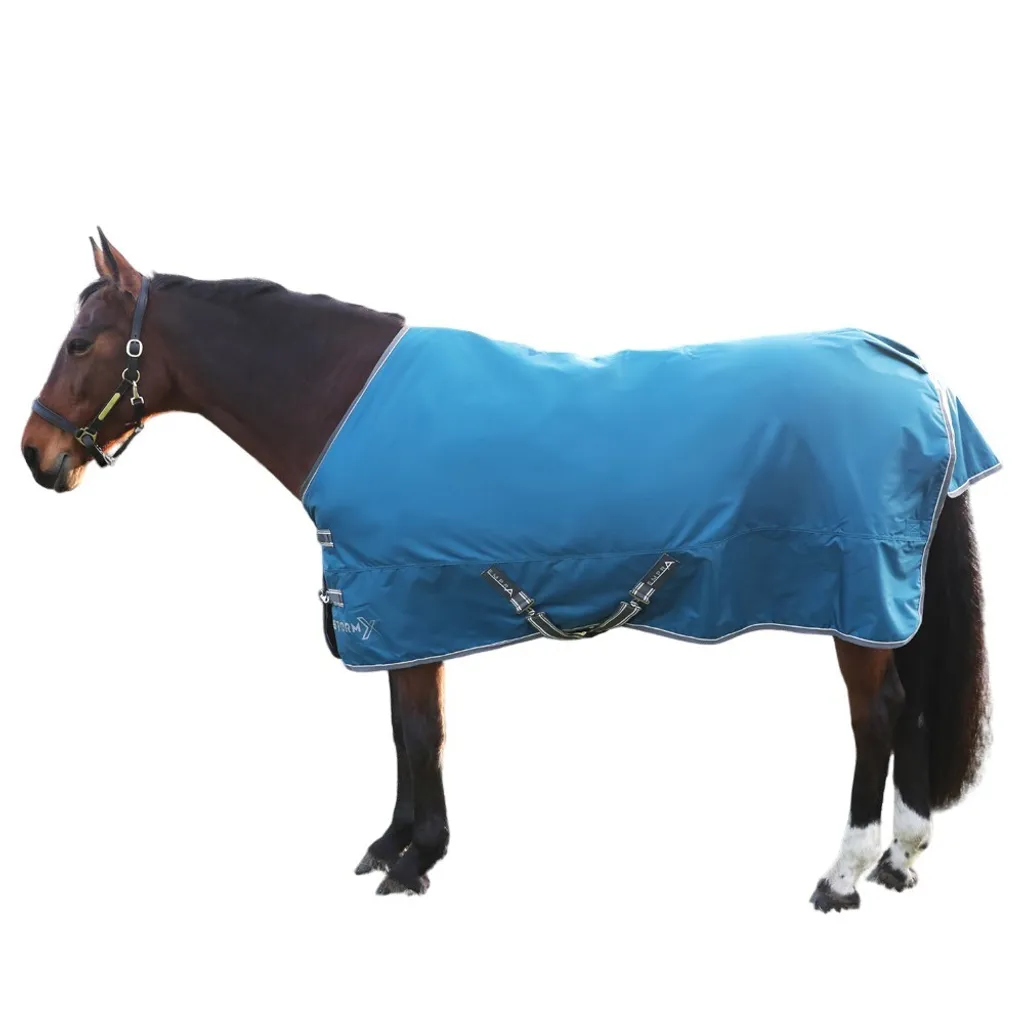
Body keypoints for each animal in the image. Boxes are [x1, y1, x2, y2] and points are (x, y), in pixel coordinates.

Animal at [21, 231, 997, 910]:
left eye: (81, 344)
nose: (36, 454)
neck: (340, 399)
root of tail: (921, 380)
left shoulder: (403, 598)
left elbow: (418, 732)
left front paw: (414, 859)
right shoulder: (409, 607)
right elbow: (409, 731)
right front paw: (397, 843)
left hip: (855, 595)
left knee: (877, 717)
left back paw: (844, 873)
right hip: (885, 603)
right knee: (911, 709)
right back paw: (903, 857)